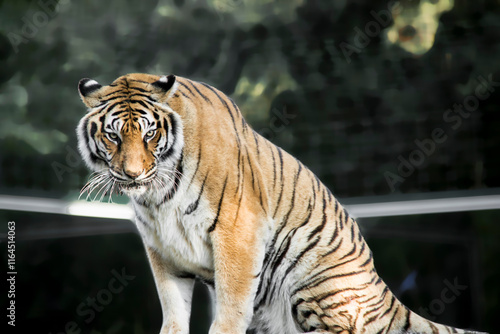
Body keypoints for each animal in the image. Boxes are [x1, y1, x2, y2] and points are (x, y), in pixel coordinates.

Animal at [76, 73, 486, 334]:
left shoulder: (237, 229)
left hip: (313, 282)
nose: (132, 174)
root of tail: (378, 285)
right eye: (113, 136)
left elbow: (232, 304)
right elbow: (173, 307)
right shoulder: (163, 248)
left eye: (149, 134)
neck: (159, 196)